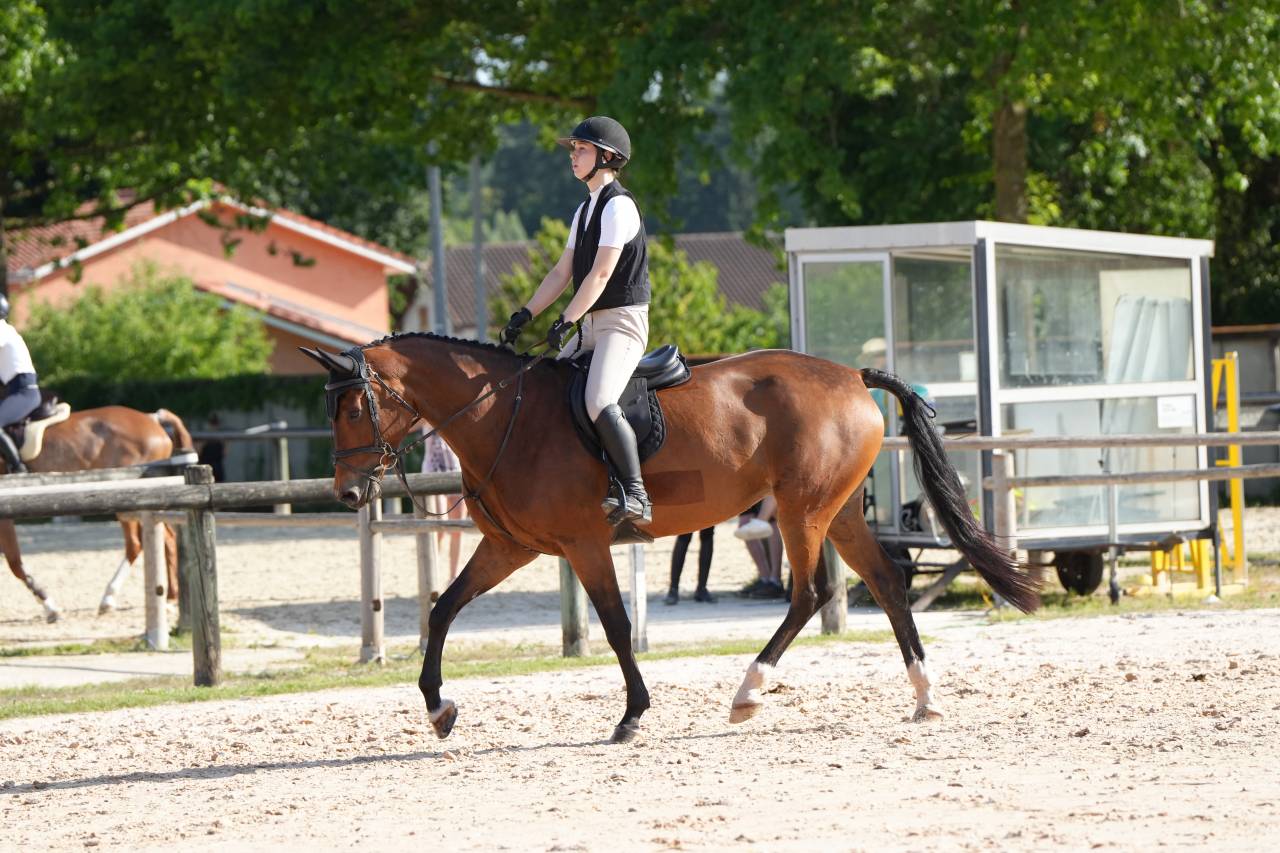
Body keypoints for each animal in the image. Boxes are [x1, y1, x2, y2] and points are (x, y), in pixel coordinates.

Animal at [1, 407, 195, 622]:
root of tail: (151, 419)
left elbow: (14, 563)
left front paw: (51, 607)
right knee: (158, 538)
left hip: (132, 499)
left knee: (142, 542)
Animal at [302, 334, 1040, 743]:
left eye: (354, 405)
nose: (347, 493)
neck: (500, 412)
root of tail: (852, 375)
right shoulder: (512, 547)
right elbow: (443, 609)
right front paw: (439, 708)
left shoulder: (584, 544)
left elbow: (616, 626)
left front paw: (633, 715)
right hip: (836, 510)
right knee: (885, 581)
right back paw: (924, 696)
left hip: (802, 511)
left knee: (810, 593)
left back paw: (748, 691)